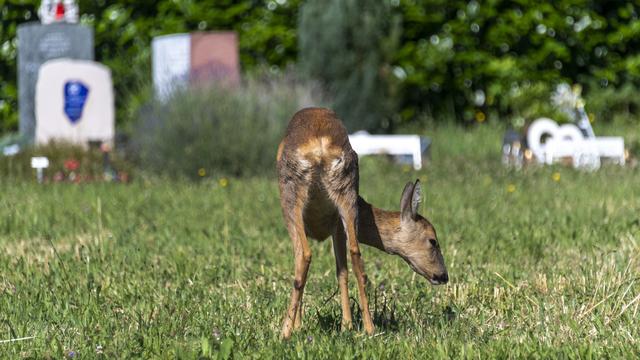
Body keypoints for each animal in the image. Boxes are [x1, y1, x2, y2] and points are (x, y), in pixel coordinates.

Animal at [278, 108, 448, 338]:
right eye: (433, 241)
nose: (444, 275)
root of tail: (320, 146)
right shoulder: (337, 225)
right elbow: (342, 270)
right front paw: (346, 325)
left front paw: (300, 325)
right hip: (347, 192)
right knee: (356, 256)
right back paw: (368, 327)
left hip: (290, 196)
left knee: (303, 255)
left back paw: (285, 332)